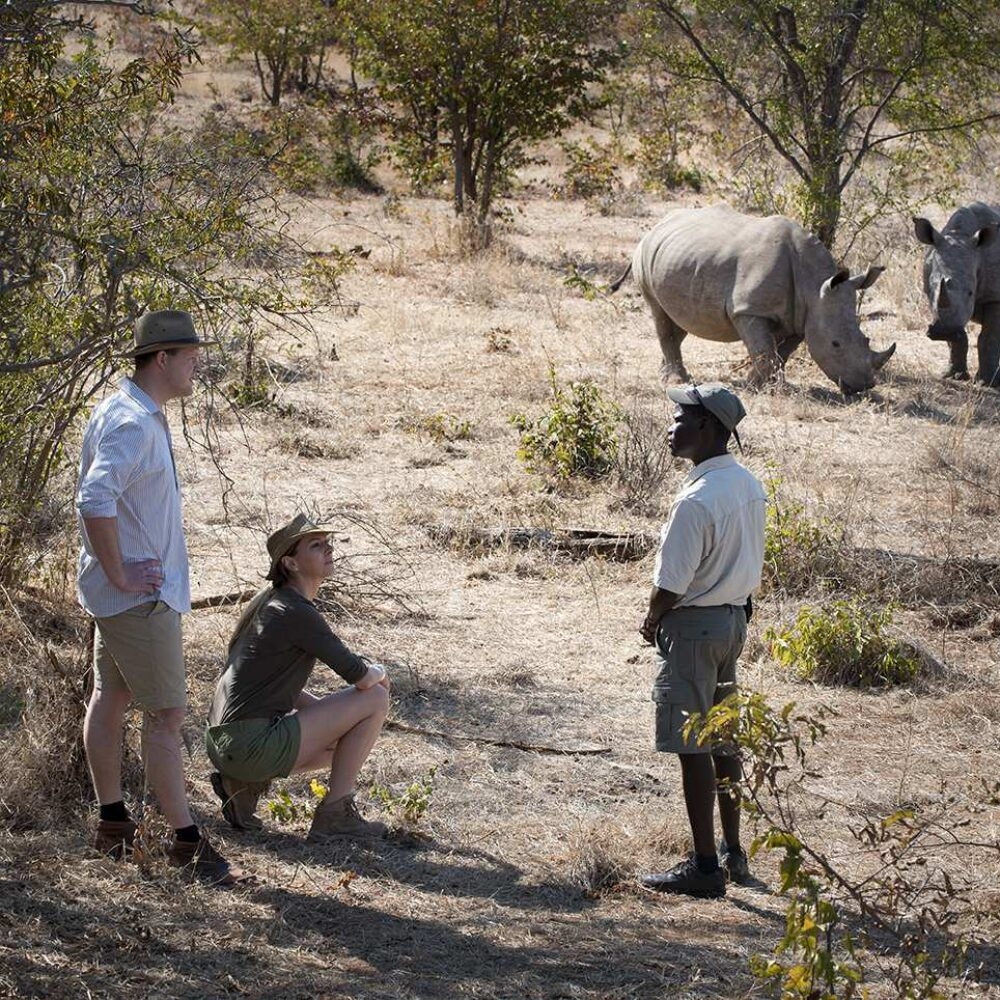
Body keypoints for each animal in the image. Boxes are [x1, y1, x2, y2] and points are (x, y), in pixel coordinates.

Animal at [612, 205, 895, 393]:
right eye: (835, 344)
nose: (863, 385)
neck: (814, 287)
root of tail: (657, 226)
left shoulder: (800, 317)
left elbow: (782, 353)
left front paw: (776, 386)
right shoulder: (749, 310)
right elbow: (764, 351)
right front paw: (750, 387)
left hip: (675, 257)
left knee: (678, 320)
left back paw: (667, 373)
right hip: (644, 255)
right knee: (659, 313)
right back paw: (677, 381)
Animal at [913, 202, 1000, 387]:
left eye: (971, 293)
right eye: (930, 291)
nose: (945, 332)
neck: (960, 235)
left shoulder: (995, 297)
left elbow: (989, 337)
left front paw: (987, 383)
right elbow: (956, 341)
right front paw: (954, 376)